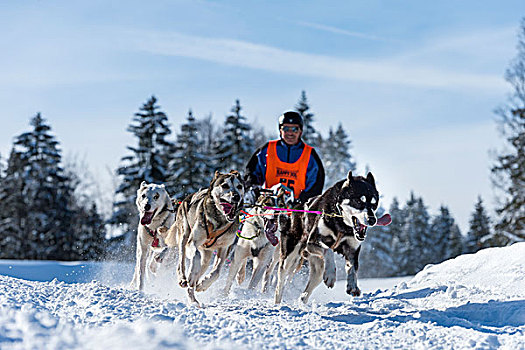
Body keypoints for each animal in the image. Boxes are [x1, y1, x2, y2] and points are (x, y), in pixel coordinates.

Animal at [163, 171, 245, 304]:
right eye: (225, 186)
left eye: (239, 186)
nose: (236, 196)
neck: (219, 221)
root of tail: (187, 198)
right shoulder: (192, 242)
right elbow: (195, 257)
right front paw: (192, 274)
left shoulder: (224, 248)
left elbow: (216, 271)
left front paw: (203, 284)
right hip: (184, 237)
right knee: (182, 262)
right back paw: (184, 279)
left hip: (207, 255)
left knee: (201, 269)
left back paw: (194, 296)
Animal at [272, 172, 390, 304]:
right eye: (359, 201)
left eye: (374, 203)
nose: (372, 220)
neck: (341, 225)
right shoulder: (312, 242)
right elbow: (328, 250)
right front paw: (330, 275)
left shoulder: (352, 249)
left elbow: (352, 268)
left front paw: (352, 285)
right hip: (289, 258)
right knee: (280, 285)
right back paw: (277, 303)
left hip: (317, 269)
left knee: (307, 291)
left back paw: (301, 301)